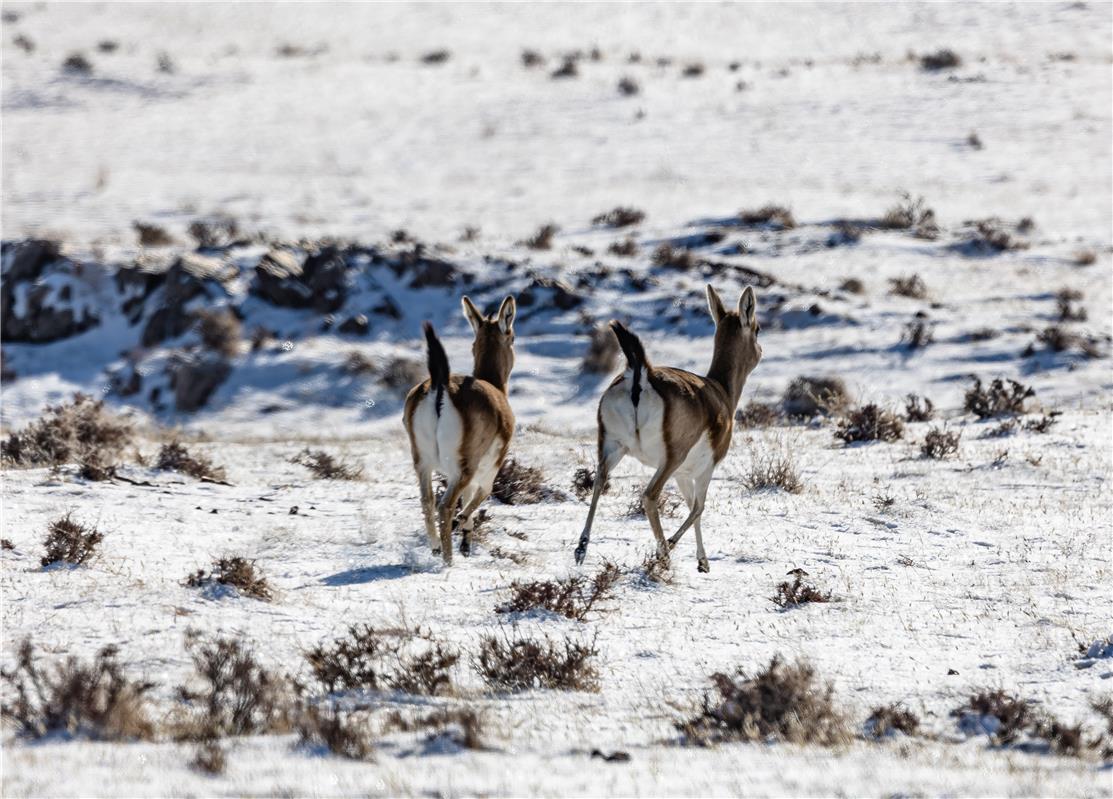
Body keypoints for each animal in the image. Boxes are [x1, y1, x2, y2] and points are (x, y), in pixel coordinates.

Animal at [405, 298, 516, 567]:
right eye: (513, 337)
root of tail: (441, 385)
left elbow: (467, 498)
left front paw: (466, 543)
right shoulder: (488, 469)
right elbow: (481, 494)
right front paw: (461, 531)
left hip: (423, 464)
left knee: (427, 502)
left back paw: (436, 547)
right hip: (463, 468)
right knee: (445, 507)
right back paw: (448, 560)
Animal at [574, 284, 765, 574]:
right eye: (757, 329)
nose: (761, 350)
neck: (721, 392)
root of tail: (642, 374)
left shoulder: (683, 475)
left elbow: (692, 506)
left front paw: (703, 561)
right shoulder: (704, 468)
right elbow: (699, 508)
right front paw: (679, 551)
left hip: (612, 448)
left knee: (598, 482)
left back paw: (581, 549)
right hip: (670, 458)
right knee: (650, 496)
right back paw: (663, 554)